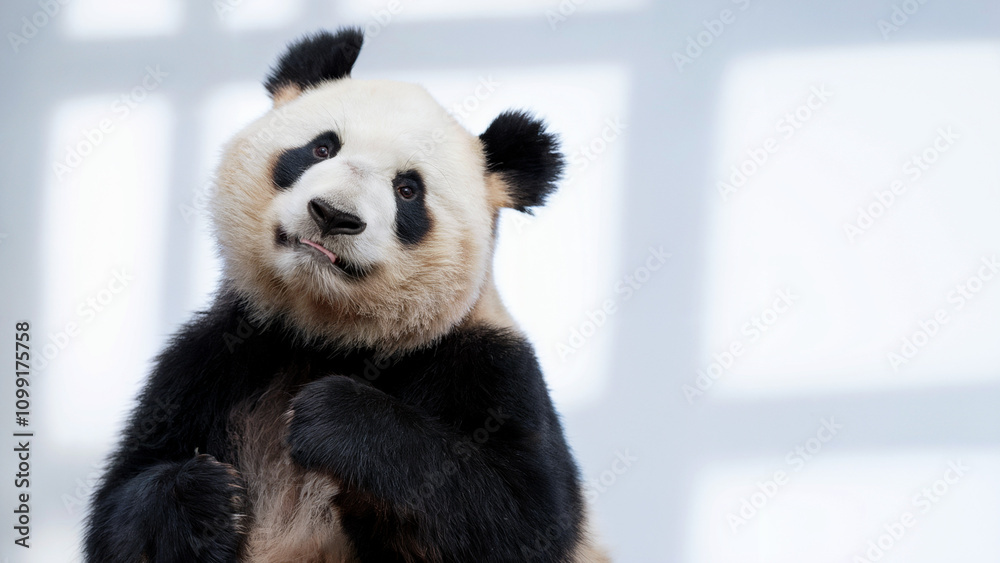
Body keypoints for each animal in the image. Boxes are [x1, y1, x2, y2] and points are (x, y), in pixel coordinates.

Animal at [84, 28, 608, 563]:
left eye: (408, 190)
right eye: (321, 149)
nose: (334, 215)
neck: (327, 334)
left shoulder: (486, 363)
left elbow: (520, 515)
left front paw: (333, 417)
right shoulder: (216, 359)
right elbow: (121, 507)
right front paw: (204, 499)